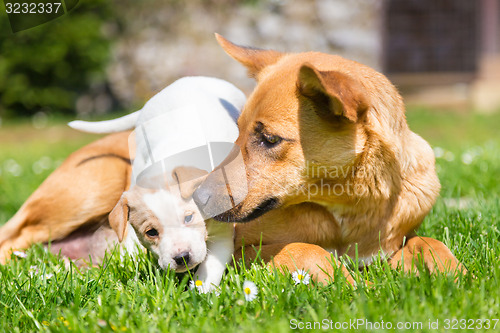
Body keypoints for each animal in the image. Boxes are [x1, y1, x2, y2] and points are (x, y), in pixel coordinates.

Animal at [69, 76, 245, 290]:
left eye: (188, 218)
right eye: (151, 232)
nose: (182, 257)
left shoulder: (222, 234)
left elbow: (210, 267)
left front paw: (201, 292)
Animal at [192, 35, 468, 280]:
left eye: (270, 139)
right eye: (237, 133)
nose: (196, 198)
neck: (345, 209)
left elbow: (428, 242)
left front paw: (457, 276)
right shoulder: (240, 252)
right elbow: (306, 249)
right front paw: (352, 283)